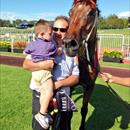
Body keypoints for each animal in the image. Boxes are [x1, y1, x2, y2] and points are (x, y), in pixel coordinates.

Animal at [63, 0, 100, 130]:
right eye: (70, 12)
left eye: (92, 13)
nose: (68, 44)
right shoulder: (70, 85)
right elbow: (68, 111)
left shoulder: (90, 86)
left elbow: (84, 109)